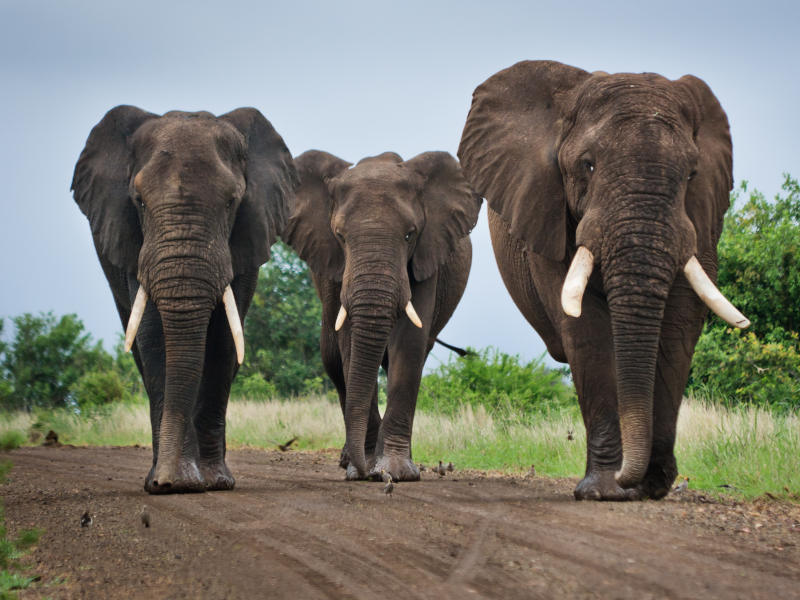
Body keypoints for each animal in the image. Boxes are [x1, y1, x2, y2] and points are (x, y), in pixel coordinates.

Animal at [71, 105, 296, 494]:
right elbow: (153, 337)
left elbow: (223, 339)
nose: (164, 481)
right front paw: (177, 482)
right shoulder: (133, 241)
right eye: (139, 201)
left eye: (231, 202)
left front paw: (214, 482)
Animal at [282, 151, 482, 482]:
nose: (367, 473)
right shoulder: (334, 264)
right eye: (340, 236)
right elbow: (349, 344)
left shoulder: (427, 255)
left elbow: (410, 343)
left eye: (409, 234)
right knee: (332, 360)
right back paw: (350, 460)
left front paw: (395, 471)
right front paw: (362, 468)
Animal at [456, 61, 752, 502]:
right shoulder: (548, 210)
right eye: (588, 165)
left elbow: (681, 322)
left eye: (691, 174)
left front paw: (651, 485)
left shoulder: (703, 219)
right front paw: (605, 490)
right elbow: (588, 329)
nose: (636, 479)